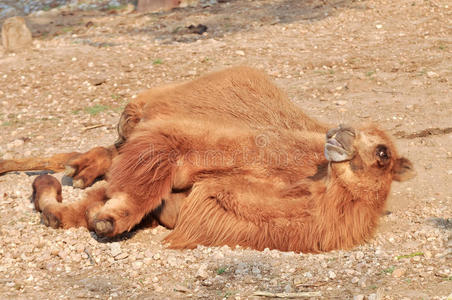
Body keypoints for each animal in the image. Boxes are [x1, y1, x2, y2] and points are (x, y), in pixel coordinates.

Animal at [2, 67, 416, 252]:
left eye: (383, 152)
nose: (337, 133)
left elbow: (86, 210)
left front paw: (86, 213)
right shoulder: (190, 141)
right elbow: (137, 182)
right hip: (143, 113)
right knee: (109, 148)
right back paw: (74, 169)